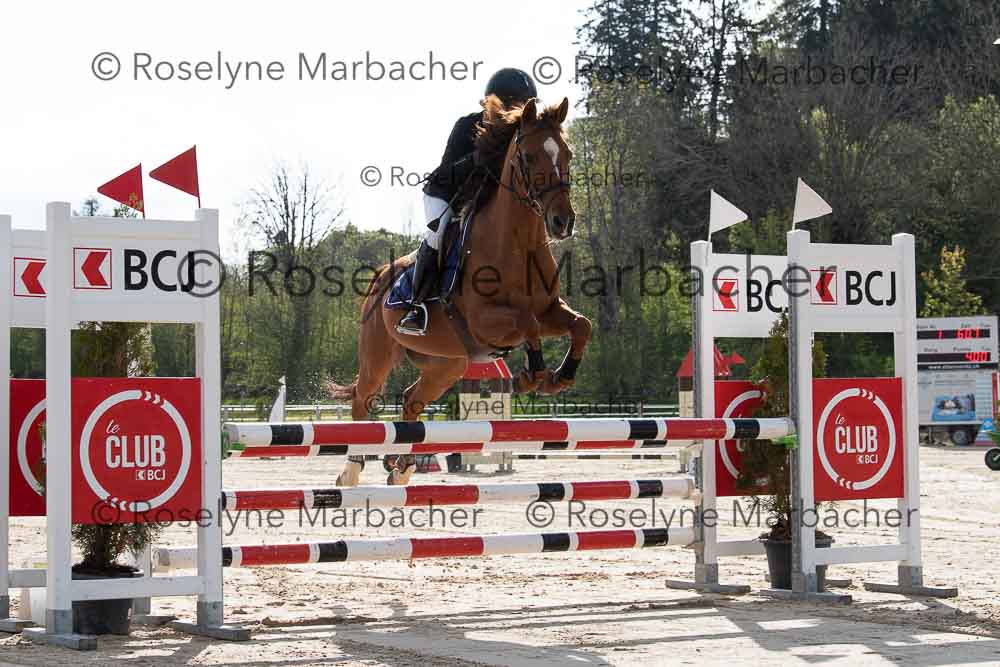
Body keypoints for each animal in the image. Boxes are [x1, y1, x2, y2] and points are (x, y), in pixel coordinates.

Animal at [328, 95, 592, 486]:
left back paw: (403, 469)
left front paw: (562, 376)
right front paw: (533, 375)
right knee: (363, 398)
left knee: (412, 399)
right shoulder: (487, 321)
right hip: (378, 355)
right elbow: (526, 323)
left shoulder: (549, 311)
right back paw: (351, 471)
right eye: (529, 157)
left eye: (568, 155)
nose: (563, 222)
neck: (519, 243)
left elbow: (581, 325)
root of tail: (381, 276)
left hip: (447, 364)